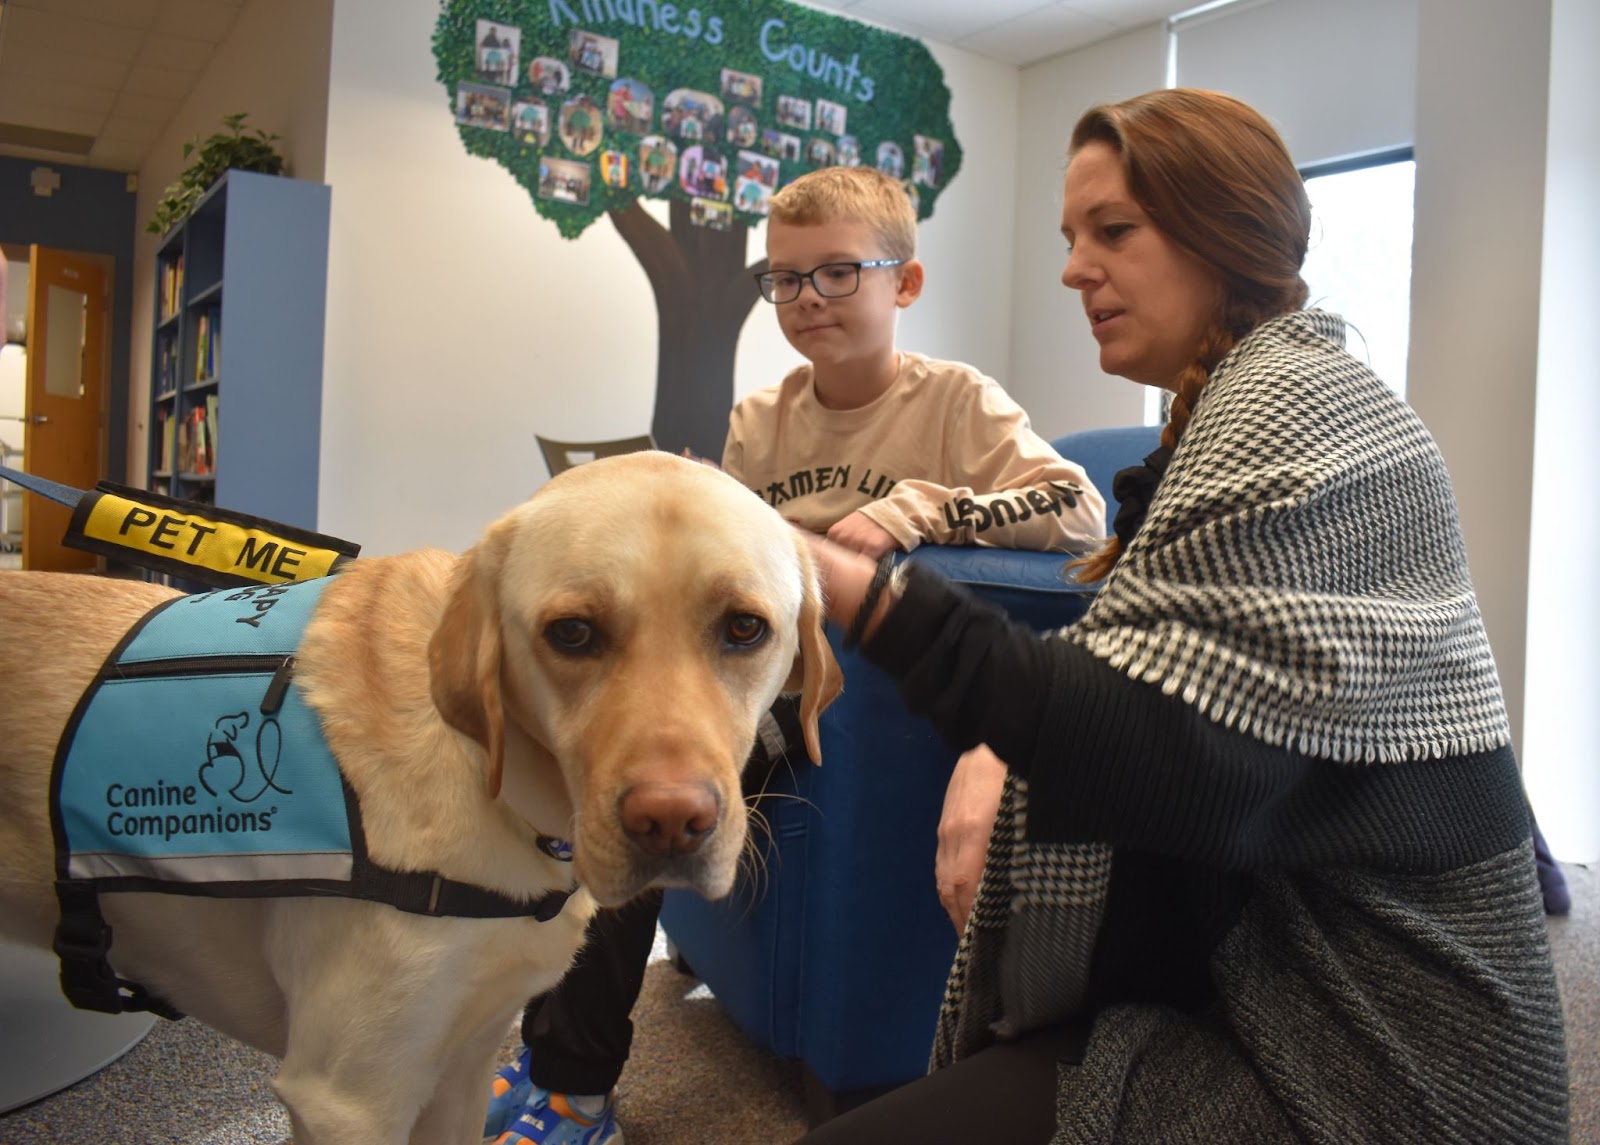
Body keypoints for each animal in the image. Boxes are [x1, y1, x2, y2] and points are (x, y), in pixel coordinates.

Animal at [0, 454, 844, 1145]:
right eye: (572, 633)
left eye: (746, 628)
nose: (672, 822)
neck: (498, 787)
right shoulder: (349, 1097)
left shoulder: (461, 1063)